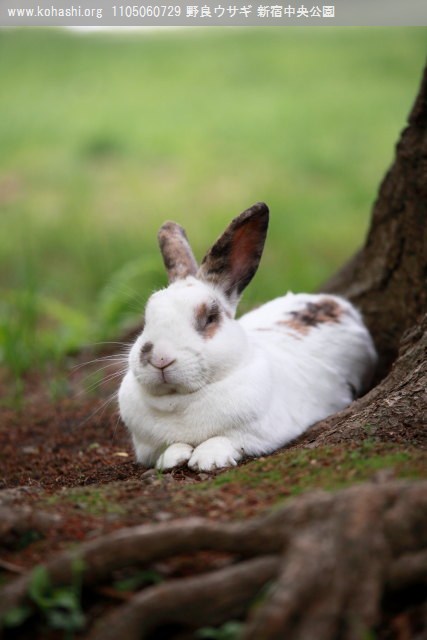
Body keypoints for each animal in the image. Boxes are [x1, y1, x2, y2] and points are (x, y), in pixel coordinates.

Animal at [118, 202, 378, 472]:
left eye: (210, 318)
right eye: (147, 317)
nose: (160, 358)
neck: (178, 401)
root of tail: (335, 302)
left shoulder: (255, 433)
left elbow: (224, 439)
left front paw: (208, 460)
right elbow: (168, 447)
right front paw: (173, 458)